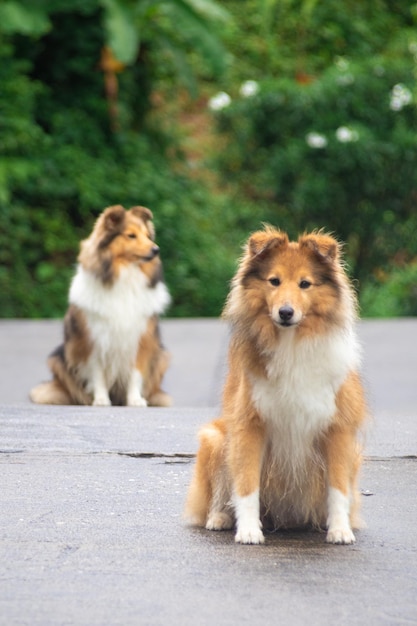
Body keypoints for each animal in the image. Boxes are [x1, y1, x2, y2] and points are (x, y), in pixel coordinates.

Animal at [29, 205, 171, 408]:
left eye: (147, 235)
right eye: (131, 235)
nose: (156, 249)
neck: (124, 275)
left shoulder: (140, 339)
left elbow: (135, 373)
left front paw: (135, 400)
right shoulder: (92, 340)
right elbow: (97, 373)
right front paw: (101, 399)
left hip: (162, 358)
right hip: (58, 359)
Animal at [184, 225, 366, 540]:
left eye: (305, 284)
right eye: (274, 281)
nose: (285, 313)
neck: (291, 343)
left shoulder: (338, 428)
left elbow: (339, 488)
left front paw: (340, 531)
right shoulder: (249, 423)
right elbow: (246, 485)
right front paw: (248, 532)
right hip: (215, 437)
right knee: (220, 490)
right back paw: (219, 518)